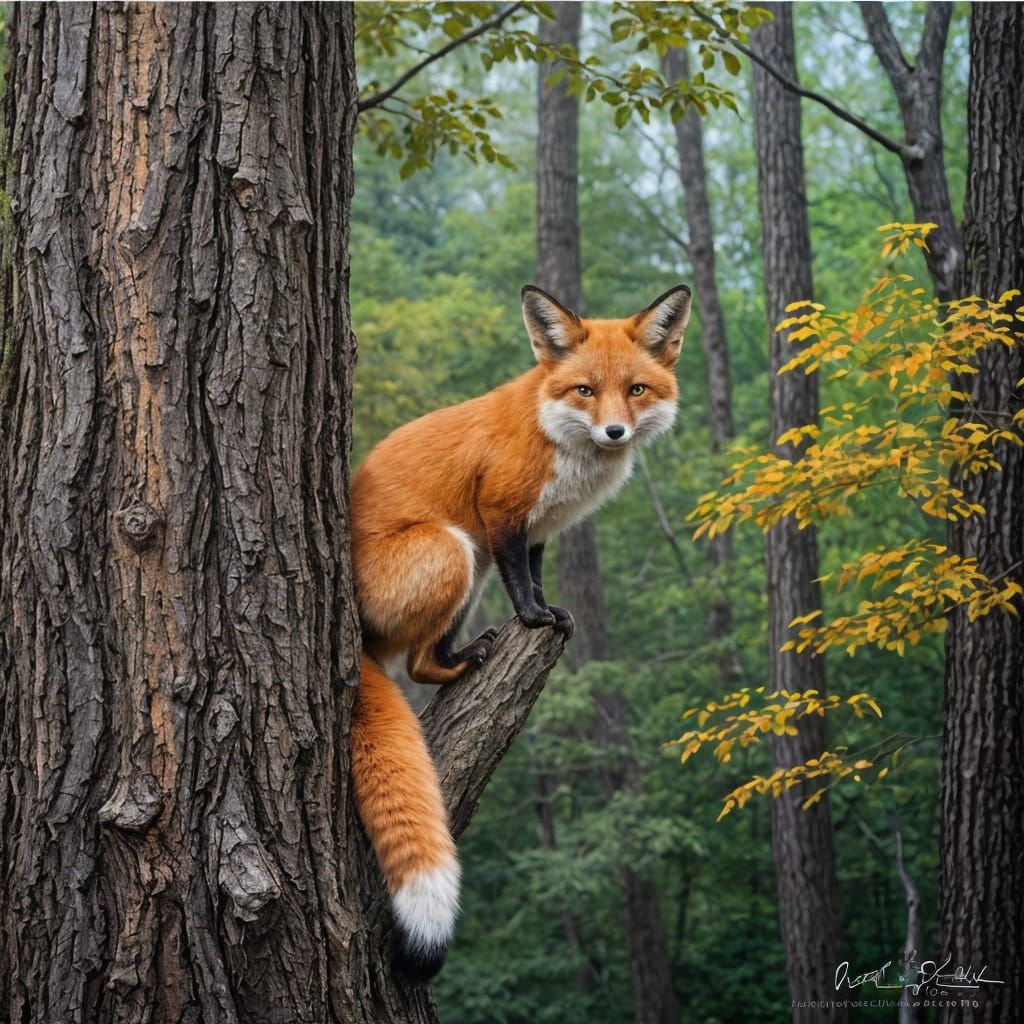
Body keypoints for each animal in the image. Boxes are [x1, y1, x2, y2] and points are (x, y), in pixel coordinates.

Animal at [349, 283, 691, 983]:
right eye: (586, 390)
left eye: (636, 390)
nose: (615, 431)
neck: (555, 435)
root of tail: (358, 641)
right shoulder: (502, 512)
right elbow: (522, 587)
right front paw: (534, 620)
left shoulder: (538, 530)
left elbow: (533, 576)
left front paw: (550, 613)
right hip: (456, 548)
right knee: (415, 664)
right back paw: (466, 658)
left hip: (468, 567)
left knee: (421, 662)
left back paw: (462, 657)